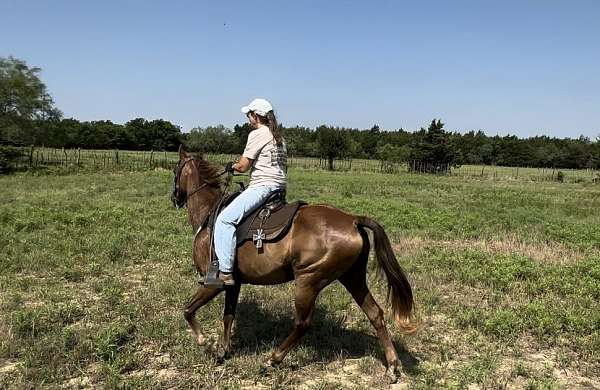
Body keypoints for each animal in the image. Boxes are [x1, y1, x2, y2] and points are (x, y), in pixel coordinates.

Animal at [171, 145, 414, 380]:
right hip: (353, 278)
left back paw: (273, 360)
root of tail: (353, 220)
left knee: (302, 323)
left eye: (175, 171)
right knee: (375, 314)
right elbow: (228, 316)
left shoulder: (212, 283)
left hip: (308, 281)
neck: (210, 213)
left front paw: (205, 343)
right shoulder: (234, 283)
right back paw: (393, 366)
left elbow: (188, 311)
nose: (175, 198)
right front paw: (223, 351)